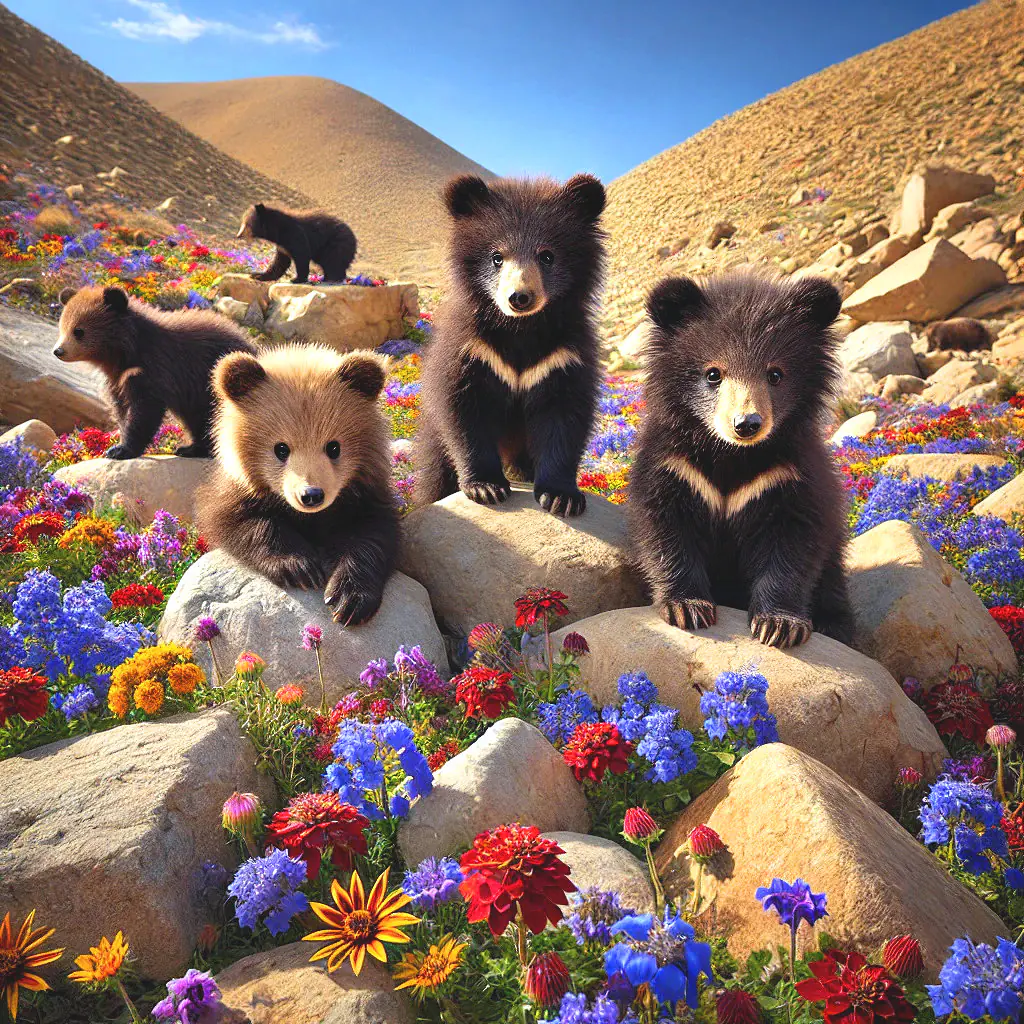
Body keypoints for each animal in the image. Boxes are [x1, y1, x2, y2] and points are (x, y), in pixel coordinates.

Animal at [54, 285, 256, 460]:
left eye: (78, 331)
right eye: (62, 327)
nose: (58, 351)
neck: (124, 353)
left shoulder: (154, 368)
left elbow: (144, 409)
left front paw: (121, 450)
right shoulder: (117, 379)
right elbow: (121, 408)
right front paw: (116, 446)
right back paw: (191, 448)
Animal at [195, 344, 398, 626]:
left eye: (333, 447)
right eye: (281, 448)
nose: (311, 495)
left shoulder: (364, 493)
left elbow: (373, 534)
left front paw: (349, 598)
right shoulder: (235, 492)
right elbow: (243, 522)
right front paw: (299, 568)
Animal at [415, 173, 605, 517]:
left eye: (547, 256)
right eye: (497, 257)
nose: (520, 298)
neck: (521, 328)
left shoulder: (564, 355)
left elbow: (565, 416)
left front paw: (562, 497)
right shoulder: (470, 348)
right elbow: (463, 409)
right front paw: (486, 488)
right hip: (434, 440)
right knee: (435, 474)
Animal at [627, 271, 855, 649]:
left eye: (775, 374)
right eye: (713, 374)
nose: (746, 424)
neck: (731, 454)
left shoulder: (787, 476)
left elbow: (793, 546)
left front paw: (780, 625)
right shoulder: (675, 467)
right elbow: (665, 529)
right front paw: (687, 608)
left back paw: (833, 626)